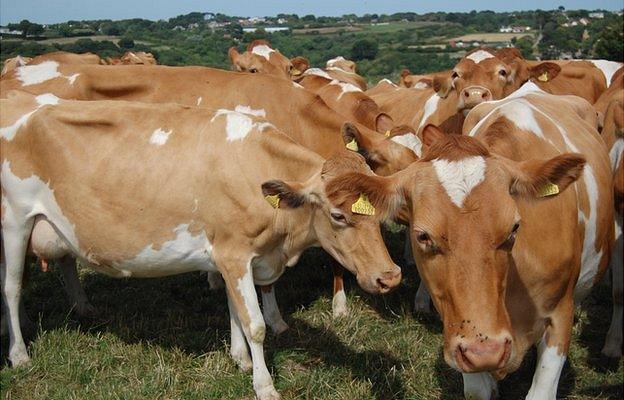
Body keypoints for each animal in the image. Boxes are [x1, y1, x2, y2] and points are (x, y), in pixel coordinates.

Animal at [1, 91, 400, 400]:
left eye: (378, 212)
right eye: (337, 215)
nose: (390, 276)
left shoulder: (230, 254)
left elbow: (235, 309)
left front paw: (240, 359)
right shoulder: (234, 253)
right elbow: (255, 323)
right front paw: (264, 385)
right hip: (14, 222)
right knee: (12, 286)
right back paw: (19, 354)